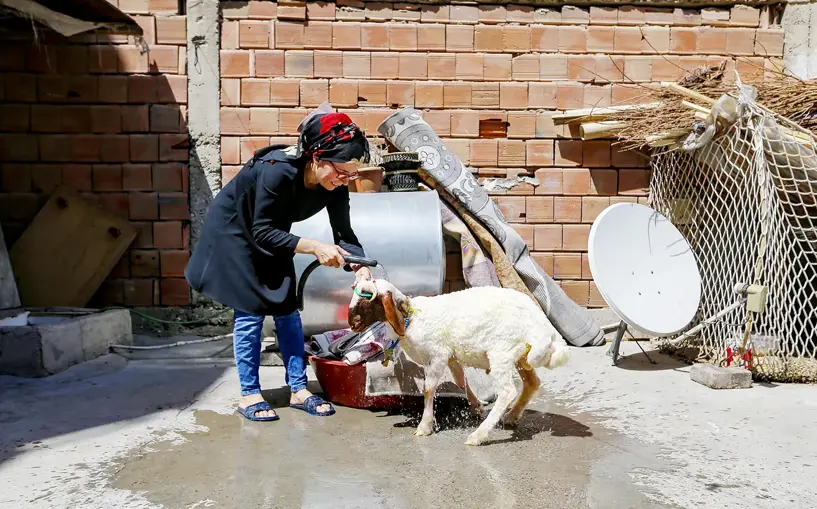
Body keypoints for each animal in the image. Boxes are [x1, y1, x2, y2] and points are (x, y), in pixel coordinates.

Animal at [348, 278, 572, 444]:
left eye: (367, 297)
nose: (352, 323)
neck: (411, 318)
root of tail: (546, 329)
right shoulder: (451, 356)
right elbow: (459, 380)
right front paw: (476, 406)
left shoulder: (438, 355)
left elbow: (429, 388)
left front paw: (424, 426)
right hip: (520, 356)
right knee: (532, 382)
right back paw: (511, 416)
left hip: (501, 353)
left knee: (507, 391)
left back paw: (478, 436)